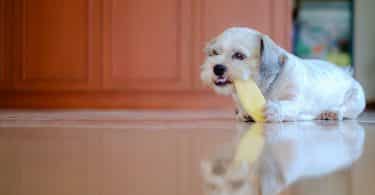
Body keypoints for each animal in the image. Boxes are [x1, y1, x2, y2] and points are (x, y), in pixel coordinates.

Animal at [201, 27, 366, 122]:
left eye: (239, 55)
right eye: (214, 53)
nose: (217, 68)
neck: (265, 85)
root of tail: (346, 73)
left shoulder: (295, 100)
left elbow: (287, 105)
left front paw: (274, 109)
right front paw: (244, 113)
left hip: (355, 101)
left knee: (345, 111)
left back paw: (332, 112)